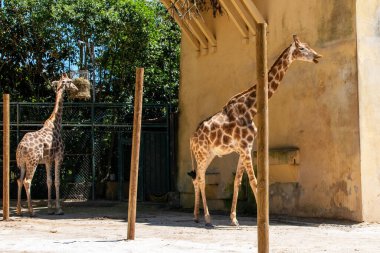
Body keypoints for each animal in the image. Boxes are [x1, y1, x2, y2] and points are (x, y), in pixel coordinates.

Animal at [15, 72, 78, 215]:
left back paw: (19, 210)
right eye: (70, 81)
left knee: (19, 180)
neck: (56, 123)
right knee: (27, 181)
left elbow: (49, 181)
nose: (77, 89)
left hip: (22, 163)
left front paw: (49, 208)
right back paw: (31, 211)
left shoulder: (48, 160)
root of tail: (21, 147)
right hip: (32, 162)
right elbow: (57, 181)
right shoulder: (59, 157)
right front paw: (59, 209)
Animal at [189, 34, 322, 226]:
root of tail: (191, 138)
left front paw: (234, 219)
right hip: (202, 154)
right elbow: (255, 182)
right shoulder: (245, 148)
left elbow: (238, 181)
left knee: (197, 179)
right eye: (302, 48)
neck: (250, 108)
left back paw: (196, 216)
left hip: (209, 155)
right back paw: (207, 218)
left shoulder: (244, 148)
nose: (318, 56)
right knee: (200, 179)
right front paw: (263, 221)